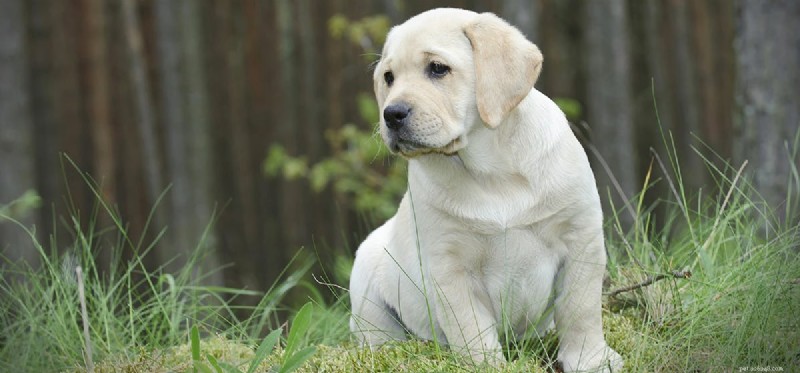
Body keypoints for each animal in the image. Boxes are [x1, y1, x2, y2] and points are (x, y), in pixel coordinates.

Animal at [350, 7, 624, 370]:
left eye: (437, 68)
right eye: (389, 77)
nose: (391, 113)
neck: (491, 169)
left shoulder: (581, 238)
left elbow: (580, 309)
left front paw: (590, 360)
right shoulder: (450, 266)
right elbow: (472, 330)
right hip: (366, 282)